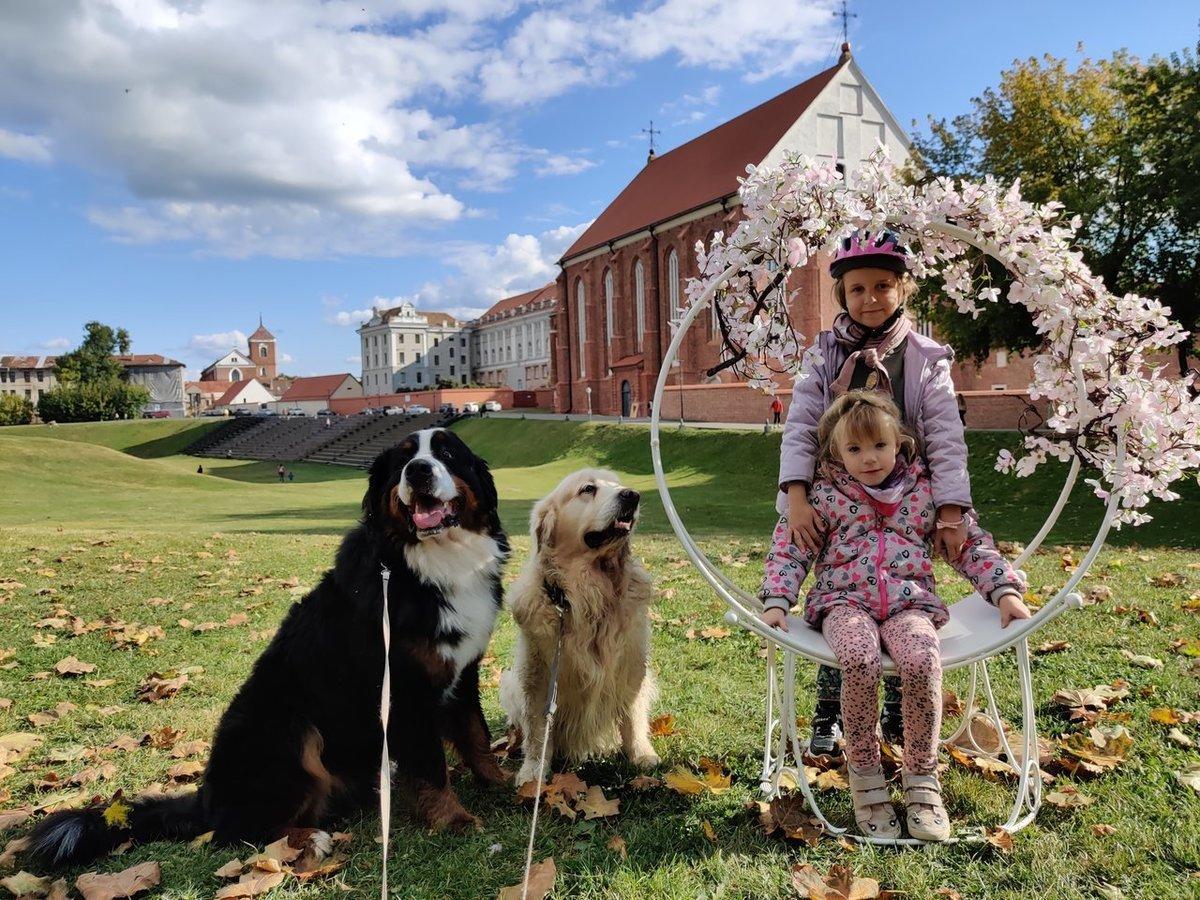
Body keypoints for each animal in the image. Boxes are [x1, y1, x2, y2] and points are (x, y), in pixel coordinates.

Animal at [25, 427, 508, 868]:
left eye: (447, 453)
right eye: (404, 460)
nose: (419, 471)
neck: (434, 564)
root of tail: (205, 797)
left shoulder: (461, 673)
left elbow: (477, 736)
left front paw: (505, 785)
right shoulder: (406, 690)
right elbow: (431, 768)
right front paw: (455, 820)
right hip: (290, 730)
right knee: (237, 831)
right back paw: (309, 840)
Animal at [501, 468, 662, 787]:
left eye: (617, 483)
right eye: (588, 489)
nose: (632, 495)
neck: (589, 592)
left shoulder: (632, 666)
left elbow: (633, 714)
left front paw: (641, 753)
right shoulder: (537, 675)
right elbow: (538, 730)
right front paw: (533, 770)